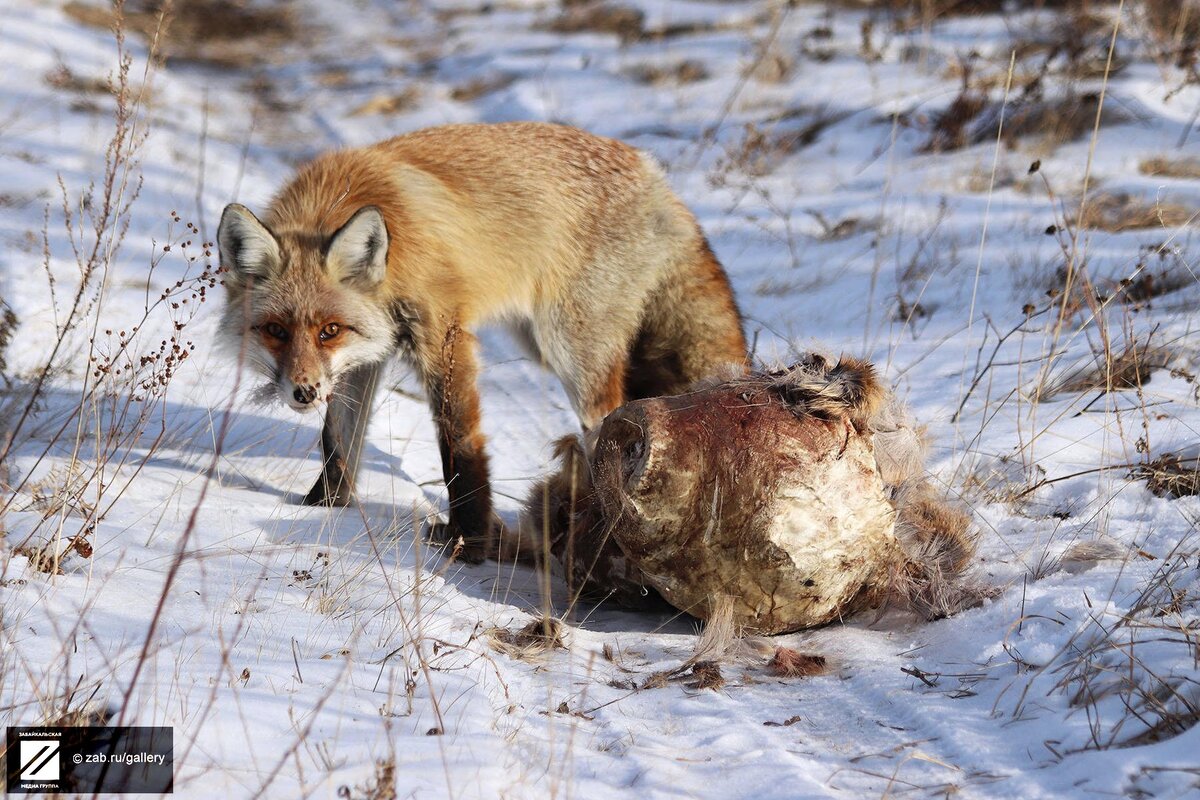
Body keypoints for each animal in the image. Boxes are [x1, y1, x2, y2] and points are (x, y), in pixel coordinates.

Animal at [216, 123, 739, 563]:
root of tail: (651, 171)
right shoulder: (366, 356)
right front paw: (322, 508)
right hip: (543, 343)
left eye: (329, 330)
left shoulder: (443, 335)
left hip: (570, 352)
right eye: (277, 331)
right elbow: (337, 442)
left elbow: (459, 444)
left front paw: (471, 539)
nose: (303, 392)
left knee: (611, 418)